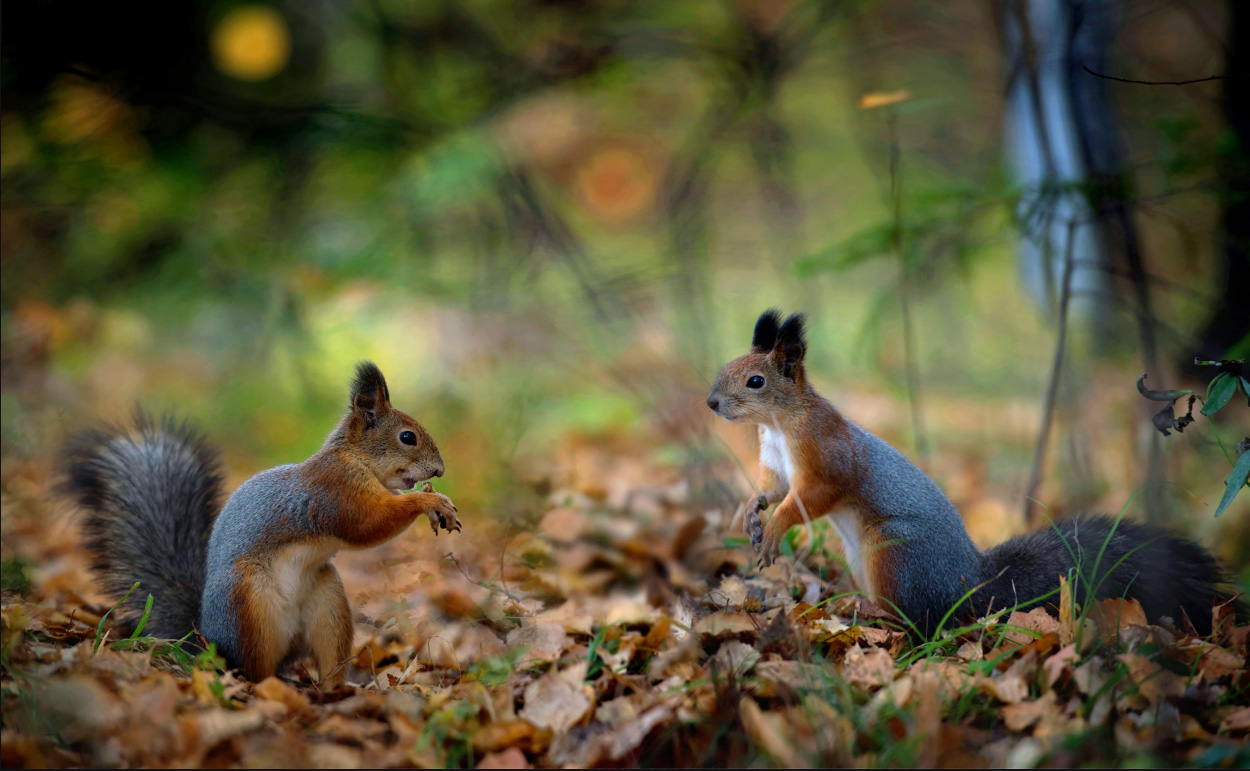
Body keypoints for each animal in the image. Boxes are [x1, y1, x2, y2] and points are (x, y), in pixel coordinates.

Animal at [60, 362, 462, 684]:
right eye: (407, 437)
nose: (440, 470)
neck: (354, 457)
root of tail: (206, 638)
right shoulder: (335, 490)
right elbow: (366, 524)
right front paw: (431, 501)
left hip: (328, 603)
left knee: (327, 656)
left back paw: (338, 689)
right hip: (249, 605)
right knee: (253, 669)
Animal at [710, 309, 1245, 634]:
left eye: (755, 381)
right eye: (726, 366)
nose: (712, 403)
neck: (779, 425)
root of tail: (966, 584)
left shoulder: (826, 457)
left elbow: (812, 496)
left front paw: (774, 528)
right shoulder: (774, 461)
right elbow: (772, 487)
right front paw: (751, 512)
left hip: (894, 553)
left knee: (922, 621)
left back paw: (877, 620)